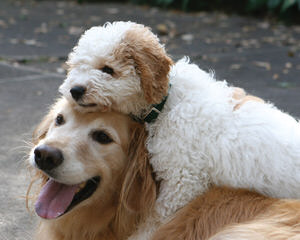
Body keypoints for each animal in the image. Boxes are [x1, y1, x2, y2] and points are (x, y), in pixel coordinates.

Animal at [59, 21, 300, 239]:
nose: (75, 90)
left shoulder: (182, 181)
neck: (166, 102)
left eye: (107, 70)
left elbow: (155, 220)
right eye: (77, 66)